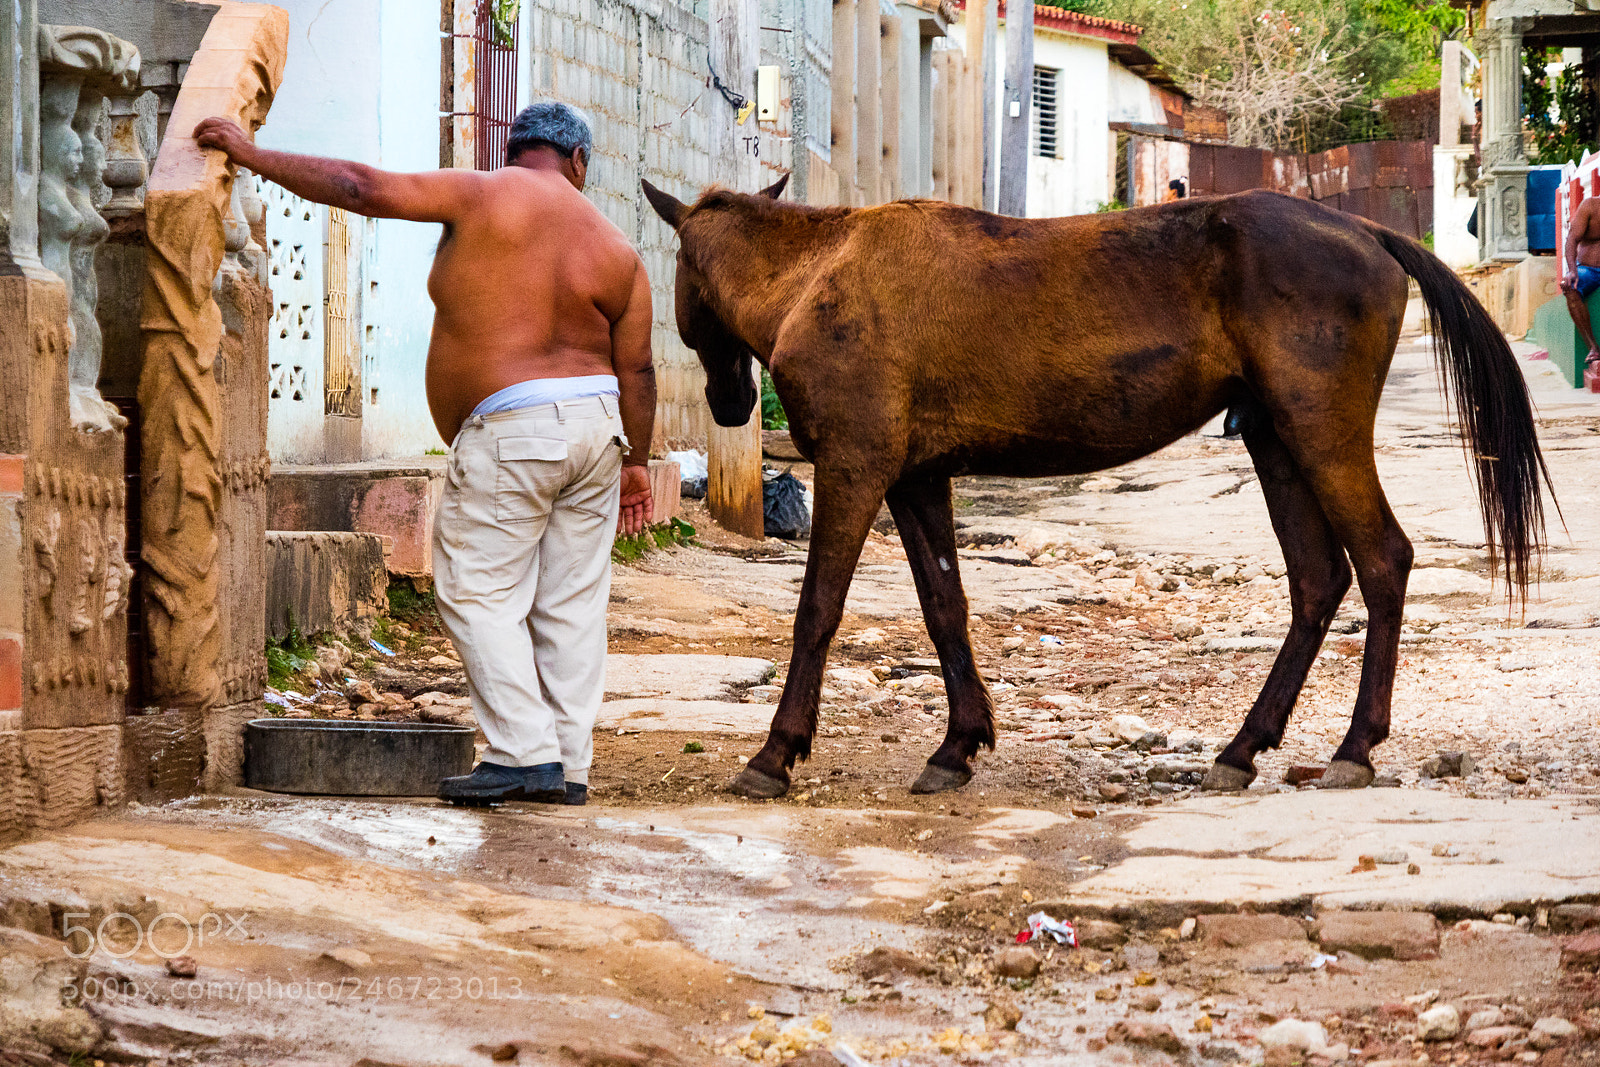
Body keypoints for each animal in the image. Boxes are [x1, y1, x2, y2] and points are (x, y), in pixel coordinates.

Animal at [640, 176, 1553, 799]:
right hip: (1277, 440)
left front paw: (776, 751)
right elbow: (945, 608)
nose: (730, 401)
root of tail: (1364, 229)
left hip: (1318, 433)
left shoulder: (855, 468)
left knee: (1383, 560)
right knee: (1318, 579)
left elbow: (818, 610)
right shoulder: (918, 480)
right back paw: (1242, 746)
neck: (821, 273)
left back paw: (1355, 746)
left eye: (680, 273)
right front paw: (957, 744)